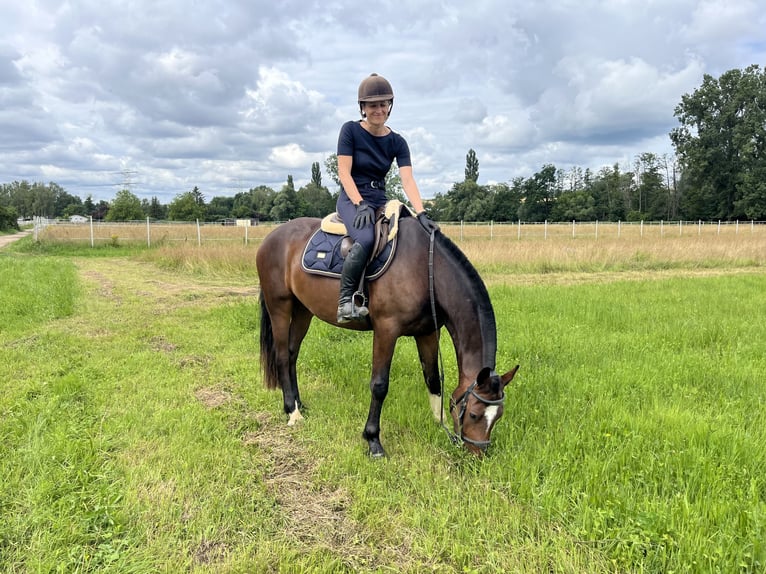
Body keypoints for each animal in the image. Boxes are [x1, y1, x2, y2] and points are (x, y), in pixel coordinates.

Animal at [258, 216, 520, 460]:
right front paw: (373, 441)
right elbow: (379, 385)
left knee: (292, 354)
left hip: (303, 310)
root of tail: (272, 237)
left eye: (498, 416)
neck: (426, 270)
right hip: (279, 306)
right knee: (282, 357)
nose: (477, 454)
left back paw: (299, 404)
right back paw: (292, 412)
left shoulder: (427, 333)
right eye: (474, 414)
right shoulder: (386, 330)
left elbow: (433, 379)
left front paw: (439, 423)